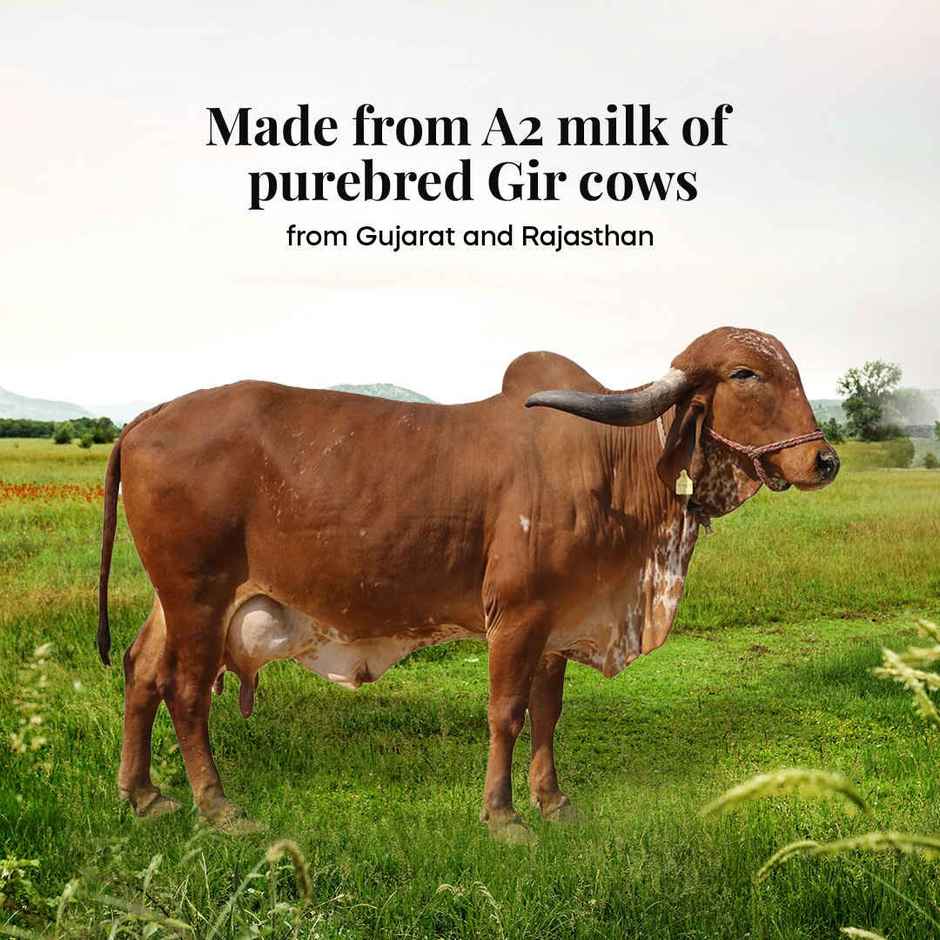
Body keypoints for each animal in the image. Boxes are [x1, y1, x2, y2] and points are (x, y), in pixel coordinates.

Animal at [98, 327, 838, 839]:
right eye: (745, 373)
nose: (825, 460)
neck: (613, 465)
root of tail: (146, 418)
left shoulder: (560, 620)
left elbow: (547, 712)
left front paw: (553, 801)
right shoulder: (516, 614)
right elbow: (506, 713)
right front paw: (503, 816)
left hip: (175, 599)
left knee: (140, 671)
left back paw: (143, 795)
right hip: (199, 596)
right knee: (186, 692)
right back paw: (217, 806)